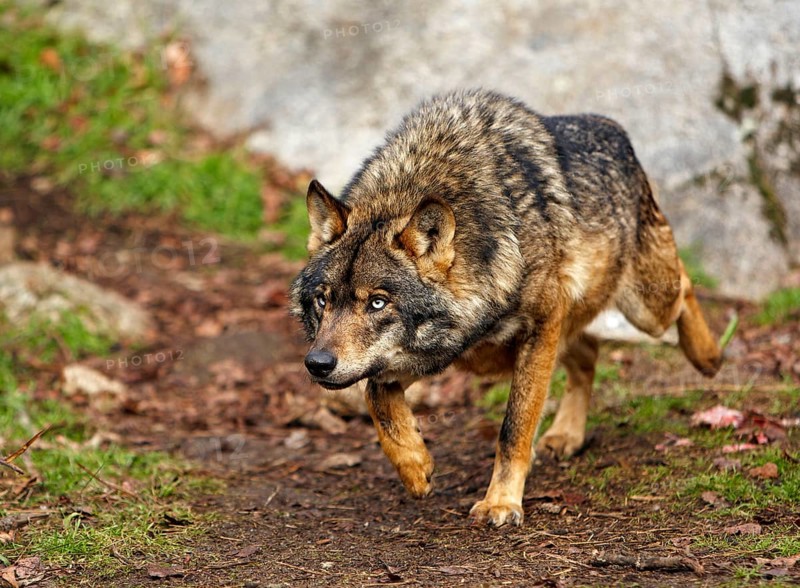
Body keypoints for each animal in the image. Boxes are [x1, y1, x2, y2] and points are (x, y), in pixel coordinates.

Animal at [290, 89, 722, 527]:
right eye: (323, 300)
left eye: (378, 302)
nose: (317, 364)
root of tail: (612, 127)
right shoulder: (440, 351)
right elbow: (378, 395)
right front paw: (415, 467)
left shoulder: (539, 327)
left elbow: (513, 428)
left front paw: (501, 502)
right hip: (569, 327)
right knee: (587, 352)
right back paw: (566, 435)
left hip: (645, 308)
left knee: (684, 285)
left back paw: (708, 357)